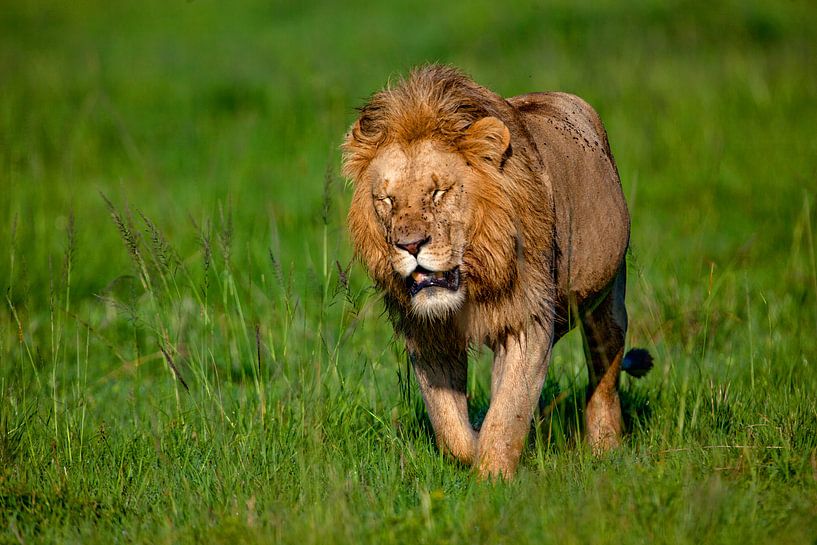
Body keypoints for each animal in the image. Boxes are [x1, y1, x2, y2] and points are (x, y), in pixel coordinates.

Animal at [342, 65, 652, 478]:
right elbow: (450, 424)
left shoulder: (527, 323)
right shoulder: (426, 336)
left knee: (604, 380)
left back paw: (606, 450)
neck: (472, 282)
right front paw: (472, 451)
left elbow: (507, 414)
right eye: (387, 200)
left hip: (608, 304)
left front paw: (491, 477)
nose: (410, 245)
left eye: (439, 192)